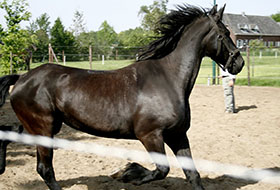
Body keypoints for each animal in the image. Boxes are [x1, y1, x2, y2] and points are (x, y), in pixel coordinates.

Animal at [0, 4, 243, 190]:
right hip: (44, 128)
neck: (169, 79)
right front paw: (125, 172)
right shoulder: (150, 135)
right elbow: (161, 170)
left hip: (45, 128)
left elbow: (193, 175)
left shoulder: (177, 135)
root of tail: (22, 77)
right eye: (225, 33)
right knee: (45, 169)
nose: (239, 63)